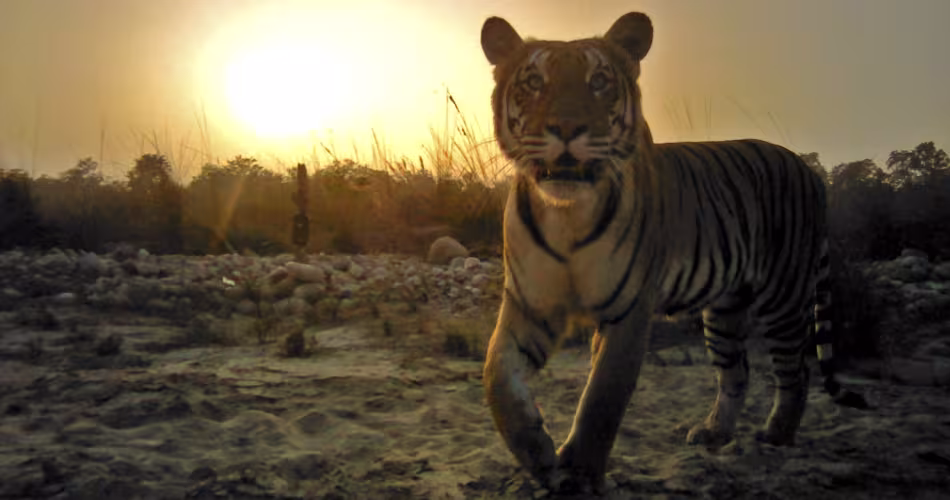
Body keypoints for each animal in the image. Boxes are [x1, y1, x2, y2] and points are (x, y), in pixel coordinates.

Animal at [480, 12, 867, 494]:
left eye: (599, 81)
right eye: (534, 81)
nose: (566, 128)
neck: (566, 215)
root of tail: (810, 170)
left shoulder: (628, 309)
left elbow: (602, 398)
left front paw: (582, 472)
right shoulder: (528, 304)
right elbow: (497, 379)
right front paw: (537, 452)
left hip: (783, 297)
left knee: (796, 370)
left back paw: (777, 434)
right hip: (725, 310)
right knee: (737, 371)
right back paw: (714, 433)